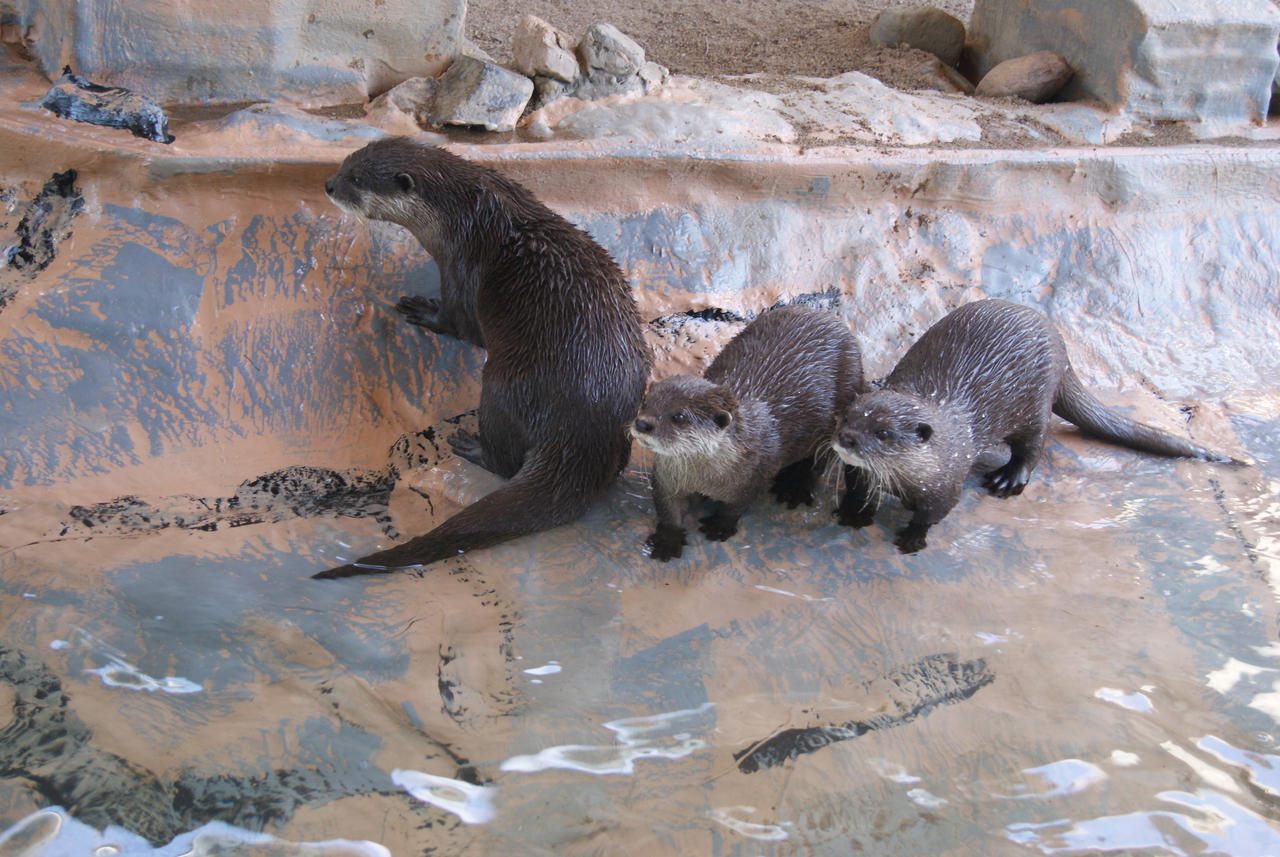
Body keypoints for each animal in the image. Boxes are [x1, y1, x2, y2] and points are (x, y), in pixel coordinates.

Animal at [311, 137, 650, 580]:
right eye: (347, 162)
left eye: (355, 179)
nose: (329, 185)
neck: (466, 218)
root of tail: (583, 434)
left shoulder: (461, 268)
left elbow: (461, 324)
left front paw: (424, 311)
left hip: (504, 387)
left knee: (505, 457)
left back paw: (471, 447)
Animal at [632, 305, 865, 560]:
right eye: (645, 402)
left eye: (679, 416)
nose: (642, 424)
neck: (704, 477)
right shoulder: (666, 477)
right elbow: (668, 509)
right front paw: (668, 539)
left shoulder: (755, 475)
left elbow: (736, 506)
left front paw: (720, 526)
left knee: (819, 460)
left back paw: (795, 487)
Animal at [829, 300, 1239, 557]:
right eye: (849, 416)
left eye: (883, 433)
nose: (846, 438)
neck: (910, 478)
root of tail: (1061, 347)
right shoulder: (861, 473)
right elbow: (859, 489)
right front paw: (854, 513)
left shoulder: (948, 482)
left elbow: (934, 514)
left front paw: (913, 539)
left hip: (1036, 404)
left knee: (1034, 445)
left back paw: (1009, 479)